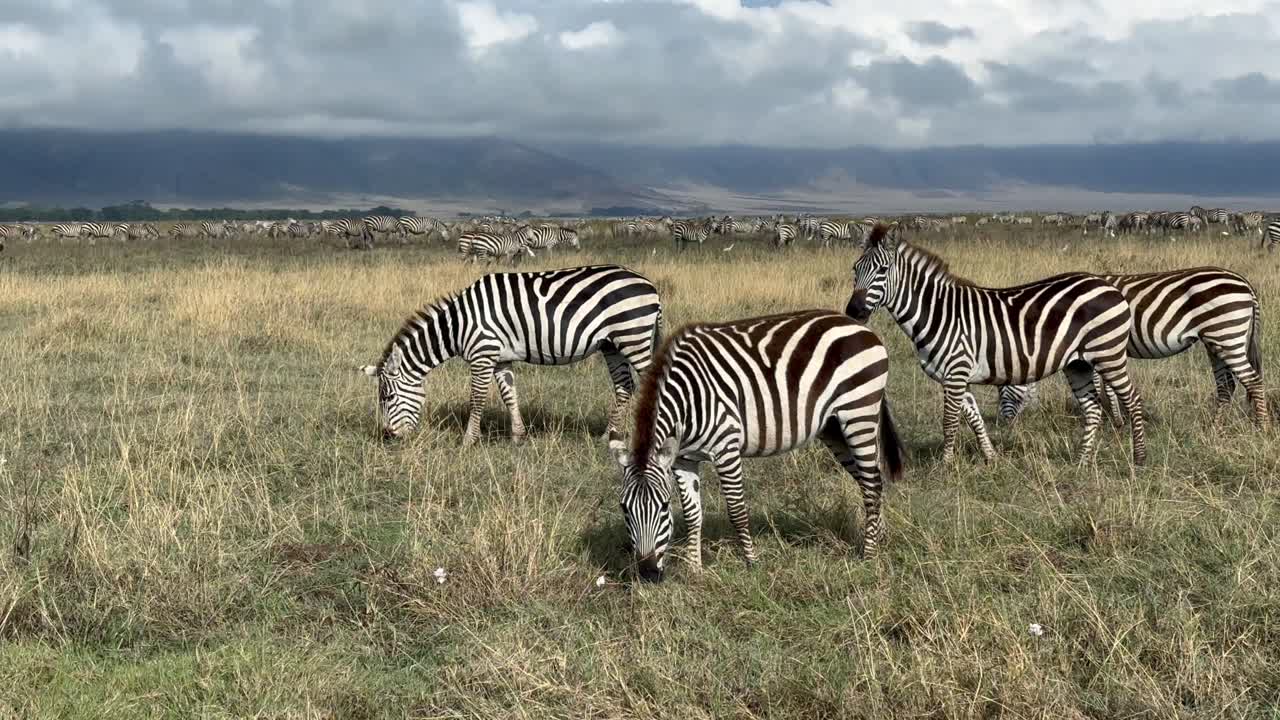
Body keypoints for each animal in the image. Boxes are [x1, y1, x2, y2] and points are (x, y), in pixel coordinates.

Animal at [361, 264, 662, 446]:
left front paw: (468, 440)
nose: (388, 436)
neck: (458, 325)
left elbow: (477, 398)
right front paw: (518, 436)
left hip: (632, 336)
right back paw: (607, 436)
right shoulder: (501, 358)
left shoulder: (482, 353)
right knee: (624, 386)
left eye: (387, 397)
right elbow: (509, 395)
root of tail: (650, 285)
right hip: (612, 343)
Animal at [612, 309, 905, 581]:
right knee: (868, 480)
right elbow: (692, 513)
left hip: (859, 412)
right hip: (834, 427)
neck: (687, 400)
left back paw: (869, 555)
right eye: (624, 508)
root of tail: (859, 326)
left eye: (663, 506)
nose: (648, 573)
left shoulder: (725, 448)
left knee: (872, 483)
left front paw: (752, 563)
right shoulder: (683, 460)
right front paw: (695, 570)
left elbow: (737, 510)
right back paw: (879, 535)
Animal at [848, 222, 1146, 465]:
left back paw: (1139, 458)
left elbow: (949, 422)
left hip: (1108, 355)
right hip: (1079, 363)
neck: (937, 312)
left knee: (1132, 400)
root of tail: (1108, 285)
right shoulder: (956, 376)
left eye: (883, 270)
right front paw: (991, 457)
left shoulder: (956, 371)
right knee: (1093, 409)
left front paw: (945, 467)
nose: (854, 311)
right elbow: (974, 419)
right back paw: (1082, 461)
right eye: (854, 269)